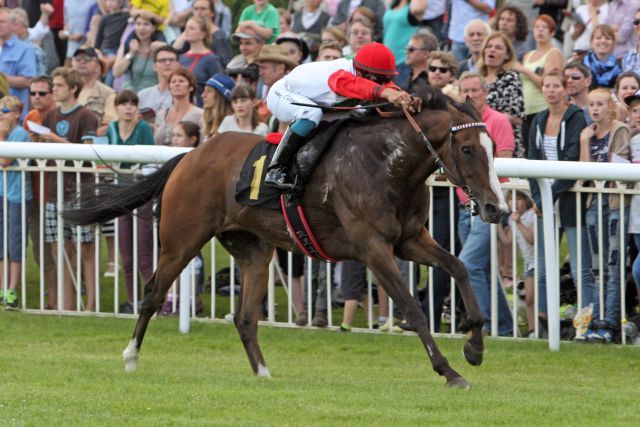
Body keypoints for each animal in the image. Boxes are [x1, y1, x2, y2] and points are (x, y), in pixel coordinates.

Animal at [63, 88, 504, 390]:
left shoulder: (408, 240)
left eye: (494, 146)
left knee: (244, 317)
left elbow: (458, 267)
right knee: (153, 293)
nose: (495, 208)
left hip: (253, 249)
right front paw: (449, 370)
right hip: (181, 240)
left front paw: (475, 346)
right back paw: (131, 356)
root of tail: (190, 155)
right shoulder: (373, 248)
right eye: (468, 149)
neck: (385, 163)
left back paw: (263, 372)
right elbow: (412, 308)